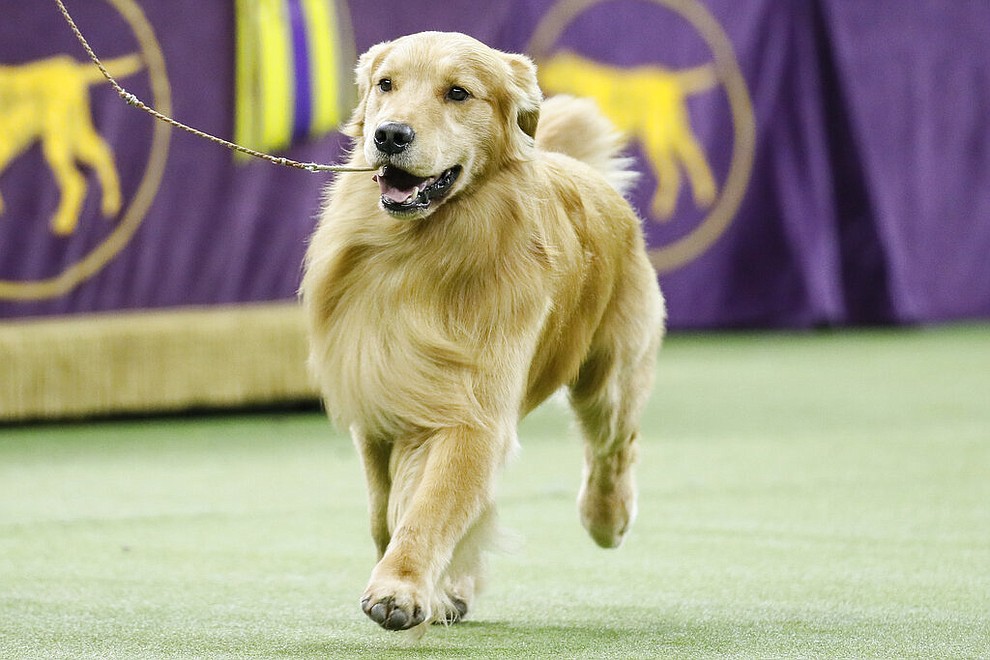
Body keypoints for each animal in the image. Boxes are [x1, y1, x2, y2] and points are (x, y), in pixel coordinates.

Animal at [298, 32, 664, 636]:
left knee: (615, 446)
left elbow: (429, 505)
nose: (389, 135)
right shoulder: (378, 402)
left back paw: (606, 518)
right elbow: (386, 509)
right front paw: (431, 586)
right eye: (386, 84)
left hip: (608, 377)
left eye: (457, 93)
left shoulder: (469, 412)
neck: (420, 252)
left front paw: (400, 588)